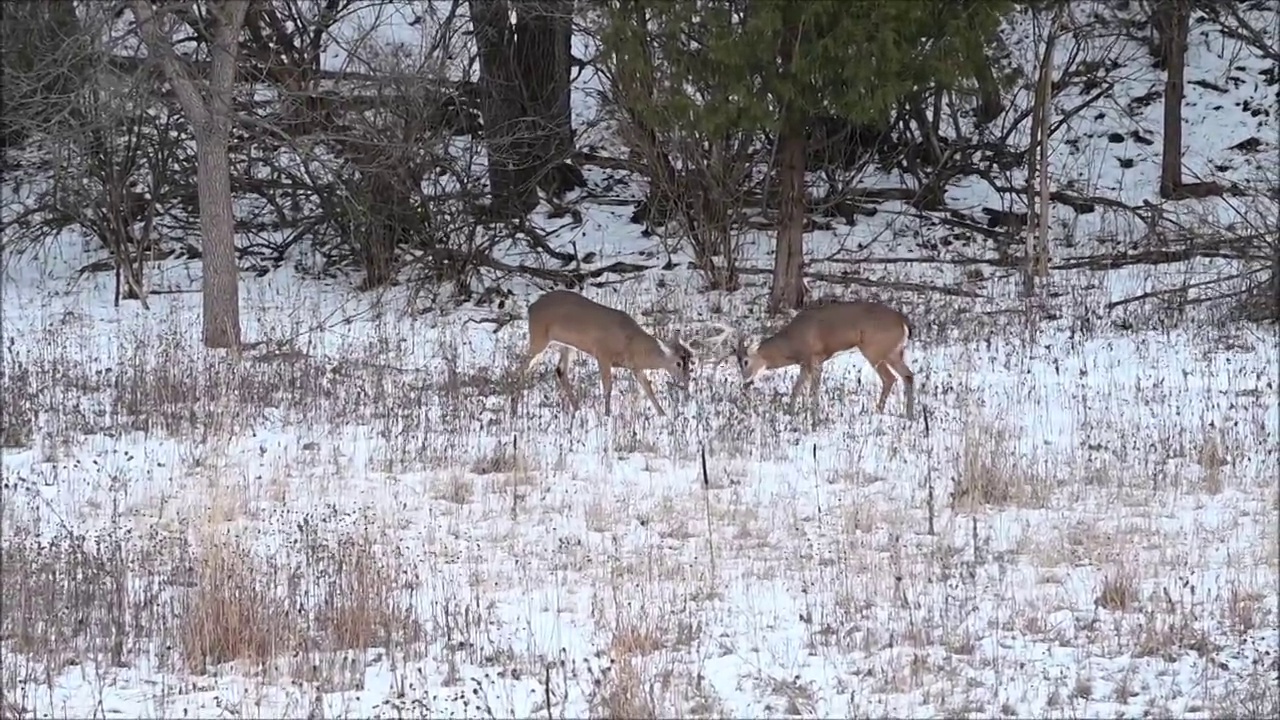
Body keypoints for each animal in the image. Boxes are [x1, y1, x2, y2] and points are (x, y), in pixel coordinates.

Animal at [522, 289, 696, 415]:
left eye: (690, 360)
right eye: (678, 363)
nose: (687, 380)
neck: (631, 344)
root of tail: (531, 308)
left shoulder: (635, 366)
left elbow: (648, 388)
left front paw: (662, 414)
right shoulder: (603, 354)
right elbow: (608, 387)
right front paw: (607, 415)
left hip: (567, 346)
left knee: (559, 371)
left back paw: (577, 408)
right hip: (539, 338)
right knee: (522, 366)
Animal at [716, 297, 916, 417]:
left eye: (745, 361)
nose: (745, 381)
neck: (792, 343)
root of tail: (903, 322)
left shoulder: (815, 358)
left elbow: (813, 390)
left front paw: (813, 416)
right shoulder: (805, 363)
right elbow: (797, 388)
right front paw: (791, 412)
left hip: (875, 349)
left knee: (889, 377)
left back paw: (879, 411)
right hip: (894, 351)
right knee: (908, 375)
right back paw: (908, 414)